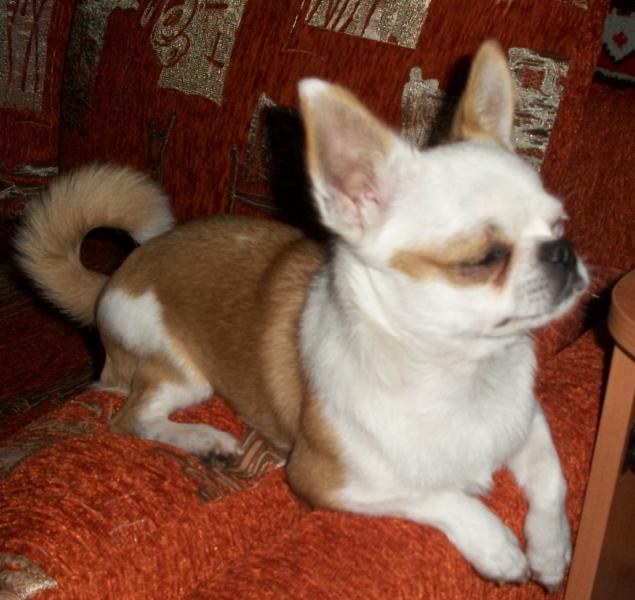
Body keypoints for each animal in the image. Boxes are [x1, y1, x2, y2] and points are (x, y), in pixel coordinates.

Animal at [15, 40, 588, 590]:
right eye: (486, 258)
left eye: (561, 224)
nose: (563, 253)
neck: (461, 374)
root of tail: (115, 277)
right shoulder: (327, 479)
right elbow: (441, 495)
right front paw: (498, 546)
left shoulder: (526, 422)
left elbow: (551, 474)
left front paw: (552, 550)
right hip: (179, 371)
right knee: (132, 417)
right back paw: (203, 440)